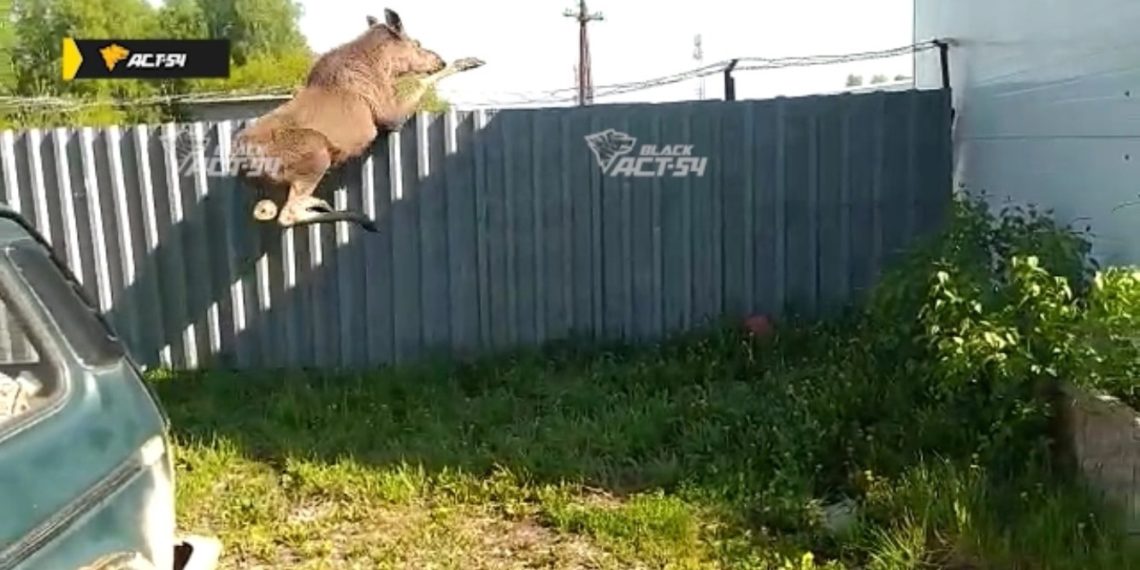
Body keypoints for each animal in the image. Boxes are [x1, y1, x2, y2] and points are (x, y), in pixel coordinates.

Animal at [232, 8, 484, 233]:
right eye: (417, 43)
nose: (439, 59)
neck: (385, 66)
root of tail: (243, 166)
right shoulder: (390, 115)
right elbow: (421, 83)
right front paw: (466, 61)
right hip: (315, 151)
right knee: (288, 215)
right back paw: (360, 217)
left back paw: (322, 203)